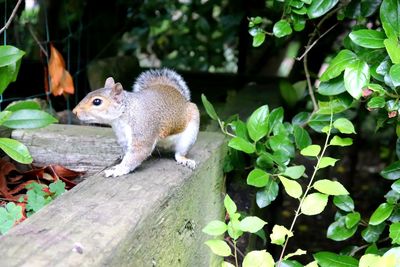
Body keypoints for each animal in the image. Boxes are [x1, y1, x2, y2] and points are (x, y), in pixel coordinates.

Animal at [72, 68, 200, 178]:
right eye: (88, 94)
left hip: (188, 136)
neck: (124, 114)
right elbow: (127, 152)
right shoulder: (122, 137)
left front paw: (118, 170)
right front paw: (120, 161)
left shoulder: (143, 128)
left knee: (179, 153)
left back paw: (185, 160)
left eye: (97, 102)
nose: (74, 111)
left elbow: (137, 153)